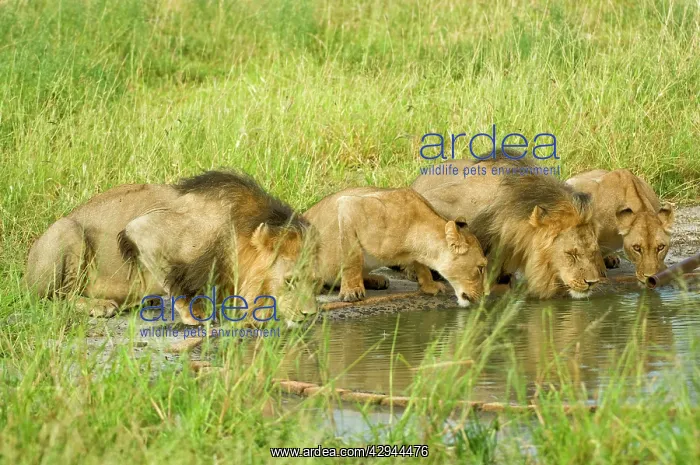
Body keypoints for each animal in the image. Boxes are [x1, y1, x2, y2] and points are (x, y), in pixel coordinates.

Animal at [25, 171, 319, 324]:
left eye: (314, 282)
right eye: (290, 281)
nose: (311, 315)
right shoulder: (146, 230)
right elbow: (176, 284)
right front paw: (196, 316)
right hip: (67, 229)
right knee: (56, 297)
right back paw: (99, 306)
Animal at [304, 187, 487, 307]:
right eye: (480, 268)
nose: (484, 295)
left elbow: (422, 267)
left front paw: (430, 286)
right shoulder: (350, 206)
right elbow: (352, 258)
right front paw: (351, 291)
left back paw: (376, 280)